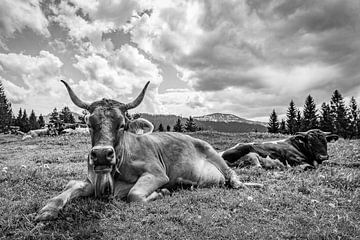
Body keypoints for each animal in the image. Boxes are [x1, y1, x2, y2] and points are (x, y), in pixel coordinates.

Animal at [34, 80, 262, 221]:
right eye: (89, 124)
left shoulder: (156, 173)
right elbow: (70, 187)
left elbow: (134, 195)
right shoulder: (92, 181)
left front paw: (161, 192)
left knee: (232, 176)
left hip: (211, 151)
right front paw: (48, 209)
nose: (101, 155)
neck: (117, 172)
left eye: (122, 125)